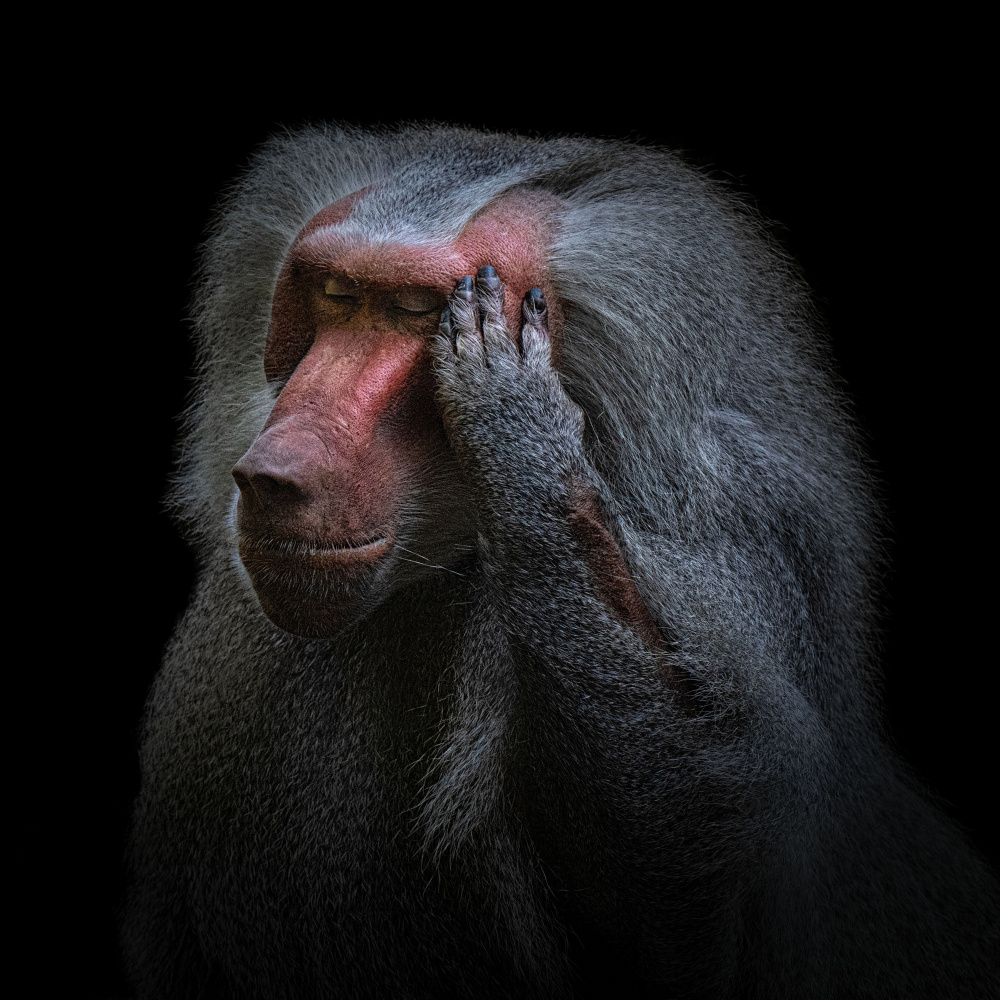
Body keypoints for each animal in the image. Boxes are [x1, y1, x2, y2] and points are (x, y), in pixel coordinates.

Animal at [123, 123, 999, 999]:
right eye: (335, 293)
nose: (276, 475)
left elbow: (687, 887)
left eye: (414, 311)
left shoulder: (742, 533)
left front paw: (517, 433)